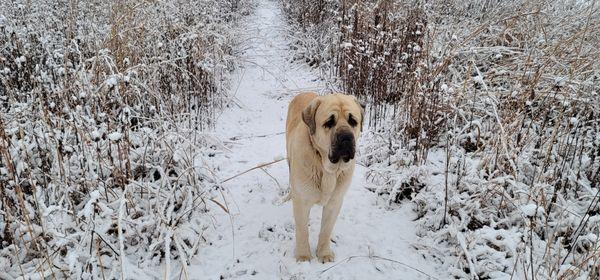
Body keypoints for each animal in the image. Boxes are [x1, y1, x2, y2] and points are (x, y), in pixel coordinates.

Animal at [284, 92, 364, 262]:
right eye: (329, 122)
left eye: (353, 121)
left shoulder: (335, 203)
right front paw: (303, 256)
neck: (326, 169)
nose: (346, 137)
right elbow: (302, 230)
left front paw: (324, 254)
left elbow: (326, 230)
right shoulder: (301, 203)